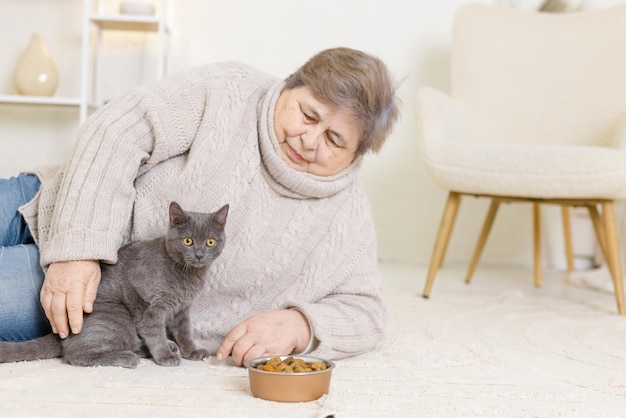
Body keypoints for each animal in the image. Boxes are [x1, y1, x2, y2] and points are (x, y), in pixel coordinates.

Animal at [0, 202, 229, 370]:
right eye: (188, 241)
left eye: (210, 242)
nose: (199, 255)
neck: (188, 274)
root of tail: (60, 333)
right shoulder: (148, 305)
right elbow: (154, 332)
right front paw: (164, 356)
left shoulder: (182, 309)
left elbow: (184, 331)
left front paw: (191, 351)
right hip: (118, 316)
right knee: (75, 353)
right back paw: (127, 357)